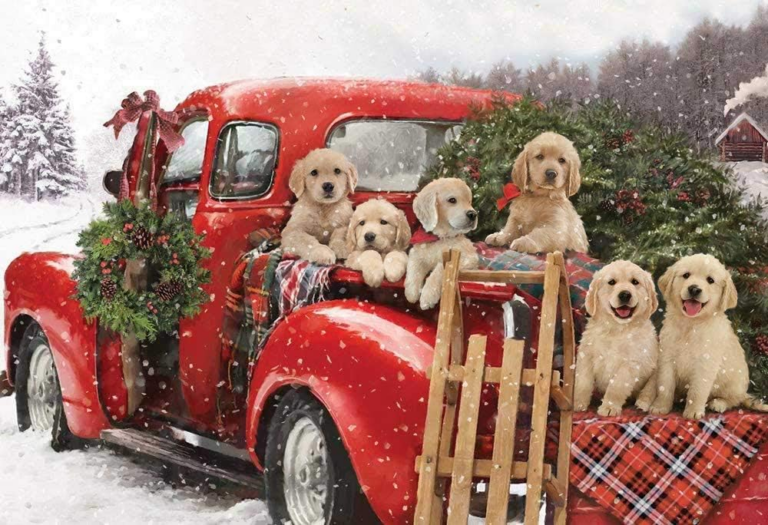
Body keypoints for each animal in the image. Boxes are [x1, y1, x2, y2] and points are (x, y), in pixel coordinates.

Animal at [404, 179, 476, 310]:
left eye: (469, 202)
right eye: (452, 200)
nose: (473, 214)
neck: (441, 238)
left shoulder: (468, 258)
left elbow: (440, 269)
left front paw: (427, 296)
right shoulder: (417, 254)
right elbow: (414, 268)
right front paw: (411, 293)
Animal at [576, 260, 660, 416]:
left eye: (635, 282)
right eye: (611, 282)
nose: (625, 294)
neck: (616, 329)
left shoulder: (630, 363)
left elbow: (617, 386)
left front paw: (609, 407)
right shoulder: (586, 355)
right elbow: (582, 381)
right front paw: (577, 402)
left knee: (649, 391)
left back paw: (641, 404)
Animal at [648, 253, 768, 418]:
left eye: (710, 280)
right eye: (686, 275)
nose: (694, 289)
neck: (691, 324)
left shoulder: (705, 362)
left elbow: (697, 391)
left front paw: (693, 411)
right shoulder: (667, 357)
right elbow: (664, 386)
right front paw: (660, 407)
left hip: (735, 383)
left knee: (733, 400)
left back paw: (718, 403)